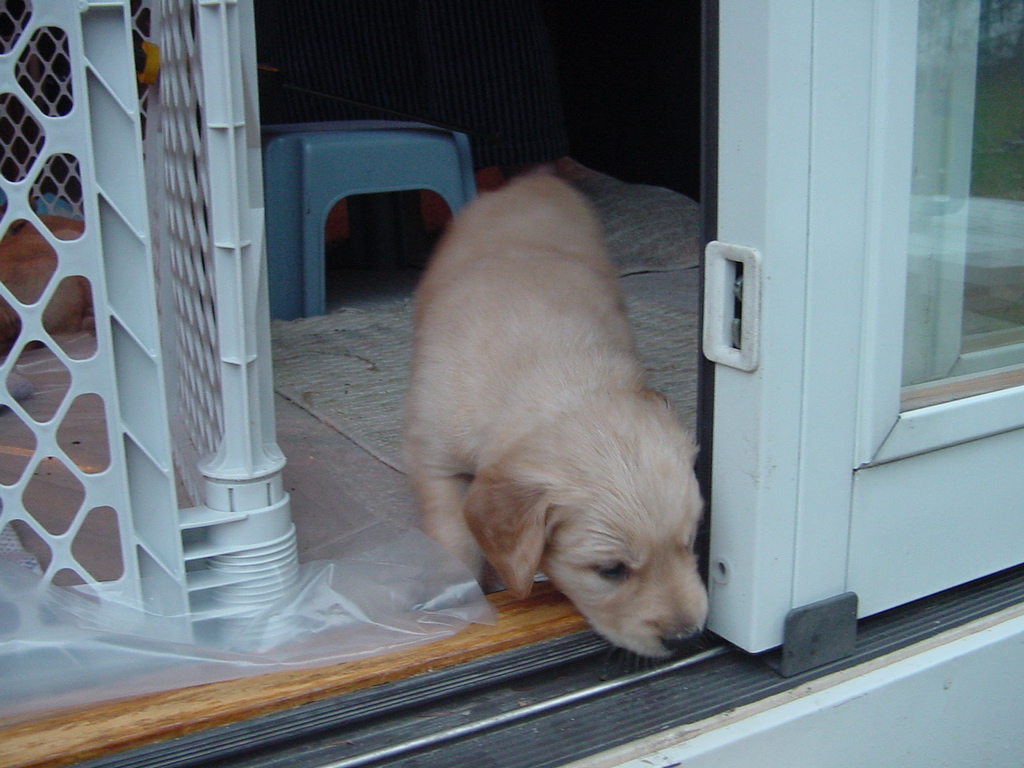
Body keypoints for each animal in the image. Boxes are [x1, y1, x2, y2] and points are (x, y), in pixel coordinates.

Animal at [403, 173, 708, 655]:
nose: (686, 639)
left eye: (691, 541)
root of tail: (532, 179)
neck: (547, 374)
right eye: (611, 570)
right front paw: (453, 587)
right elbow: (451, 527)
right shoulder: (432, 452)